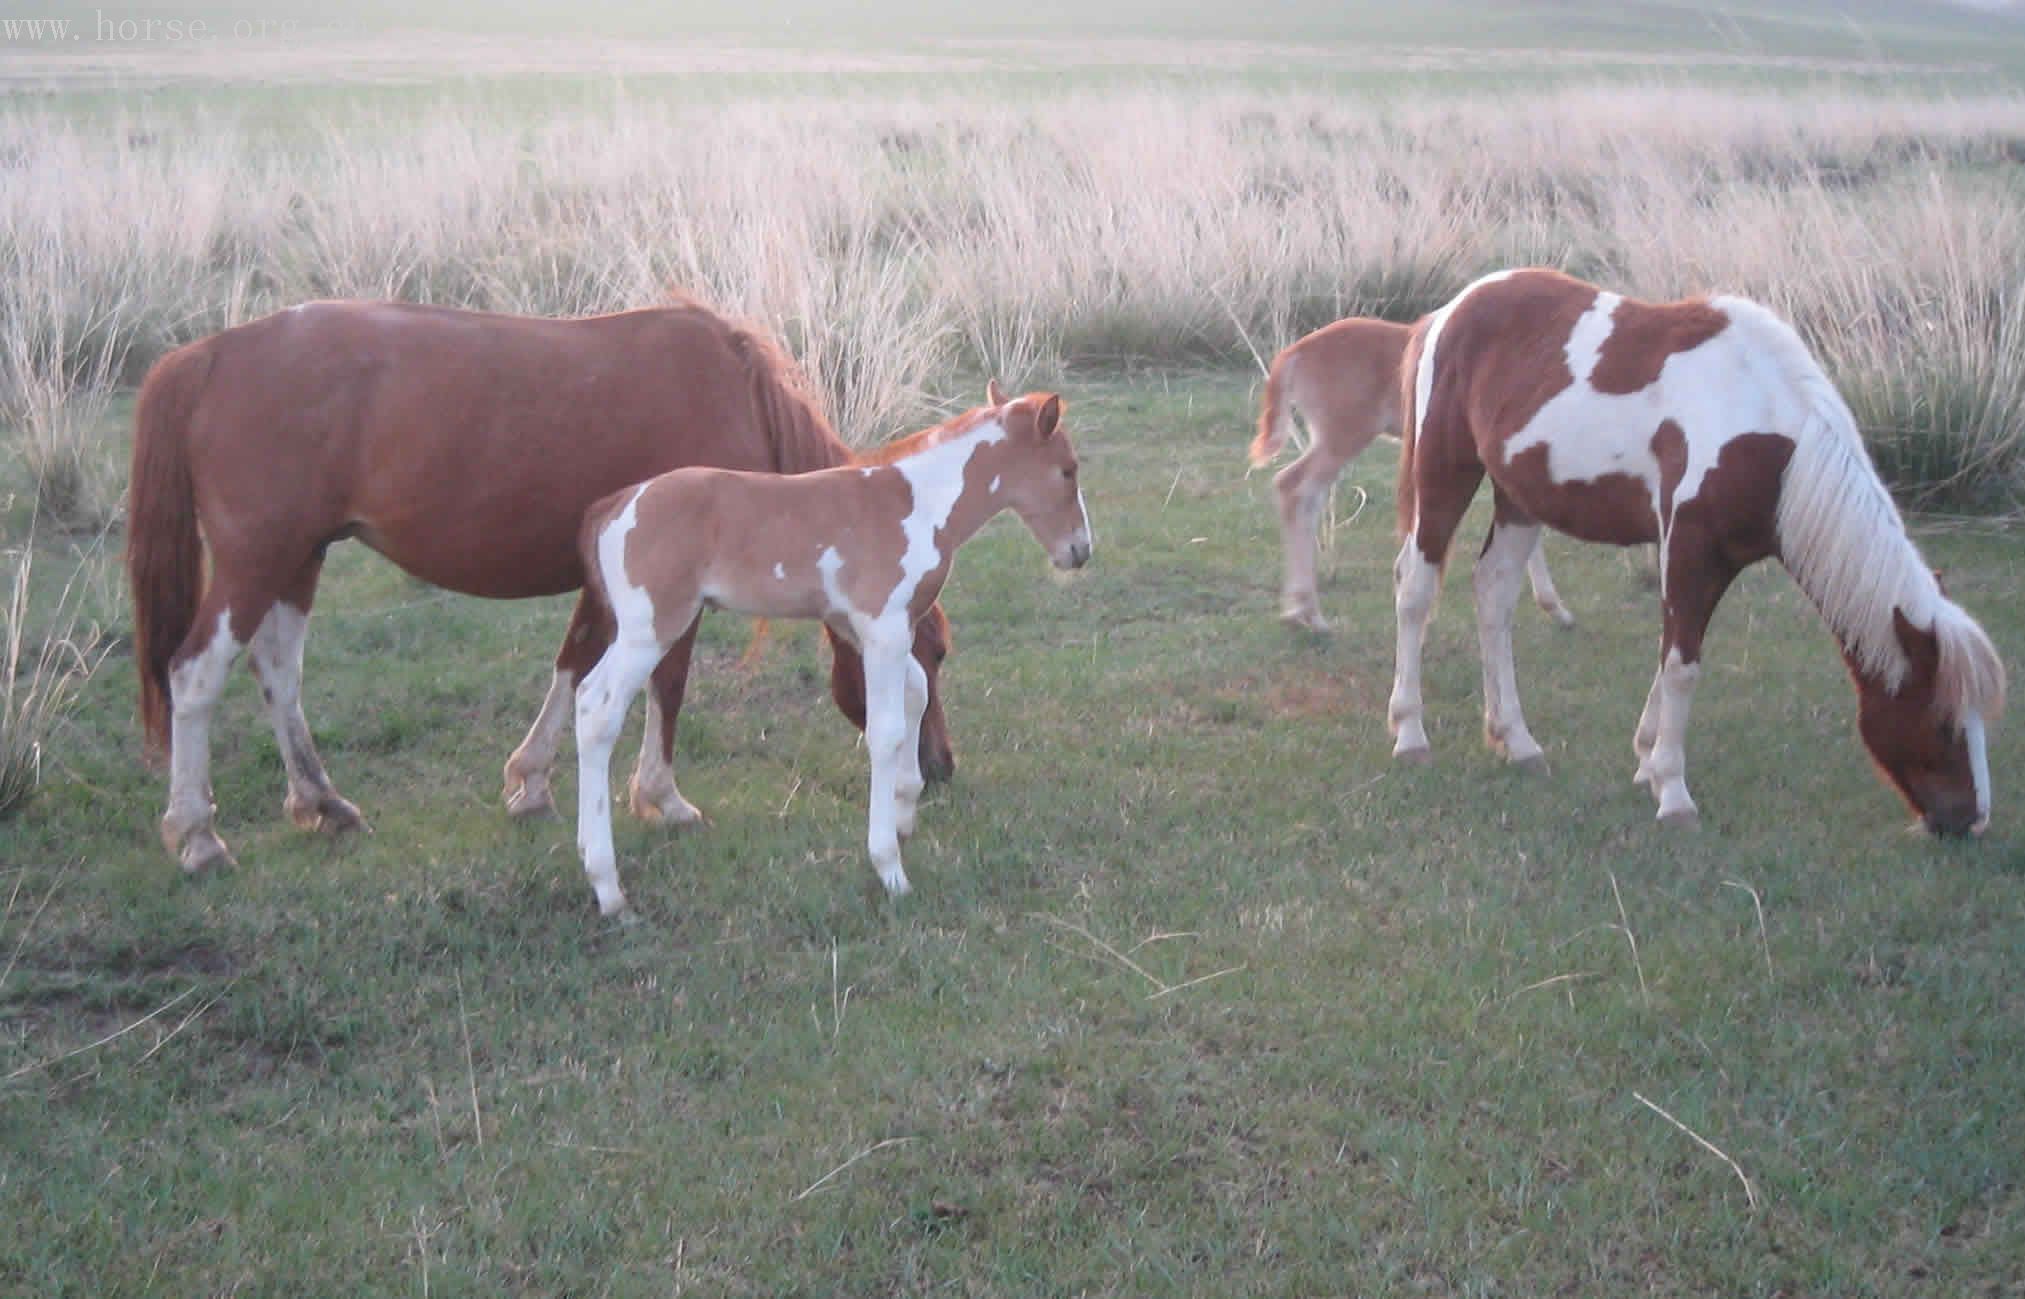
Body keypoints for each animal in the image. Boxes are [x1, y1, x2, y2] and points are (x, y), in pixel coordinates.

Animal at [130, 299, 959, 875]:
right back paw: (197, 835)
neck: (734, 395)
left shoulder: (614, 582)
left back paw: (320, 802)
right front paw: (662, 798)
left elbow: (574, 664)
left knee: (278, 670)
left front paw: (529, 782)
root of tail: (211, 354)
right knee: (195, 675)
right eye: (932, 653)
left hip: (297, 559)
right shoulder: (671, 588)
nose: (939, 768)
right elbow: (666, 683)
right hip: (256, 559)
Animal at [571, 383, 1093, 911]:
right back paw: (607, 886)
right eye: (1068, 470)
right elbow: (886, 731)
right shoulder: (884, 628)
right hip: (650, 628)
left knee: (587, 698)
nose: (1080, 550)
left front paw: (905, 811)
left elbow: (917, 693)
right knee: (597, 712)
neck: (919, 505)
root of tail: (616, 504)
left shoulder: (868, 626)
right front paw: (889, 867)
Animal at [1239, 320, 1571, 632]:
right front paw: (1556, 607)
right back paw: (1310, 614)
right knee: (1293, 485)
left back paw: (1298, 611)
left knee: (1307, 495)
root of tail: (1295, 352)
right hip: (1343, 437)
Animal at [1385, 267, 2000, 830]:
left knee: (1494, 594)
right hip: (1445, 473)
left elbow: (1671, 658)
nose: (1970, 820)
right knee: (1416, 592)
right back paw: (1410, 733)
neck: (1765, 427)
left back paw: (1516, 740)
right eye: (1943, 722)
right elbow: (1683, 667)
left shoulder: (1712, 559)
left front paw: (1647, 761)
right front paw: (1674, 792)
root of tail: (1451, 310)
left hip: (1518, 498)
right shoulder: (1690, 549)